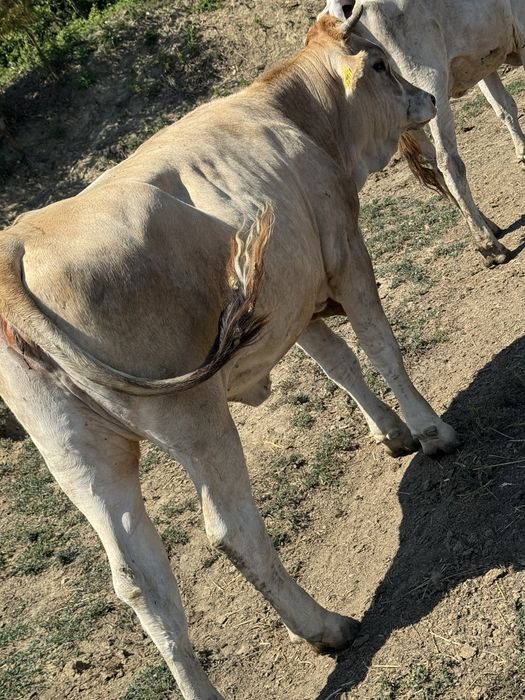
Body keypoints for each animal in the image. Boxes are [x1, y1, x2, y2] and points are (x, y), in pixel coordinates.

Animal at [0, 16, 459, 700]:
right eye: (379, 64)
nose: (426, 97)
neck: (293, 114)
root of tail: (19, 242)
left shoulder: (288, 296)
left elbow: (338, 363)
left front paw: (392, 432)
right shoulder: (344, 253)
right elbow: (380, 347)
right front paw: (430, 430)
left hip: (82, 457)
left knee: (140, 583)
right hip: (195, 418)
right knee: (231, 530)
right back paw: (325, 625)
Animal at [320, 0, 525, 267]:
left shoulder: (485, 64)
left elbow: (505, 107)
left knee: (435, 164)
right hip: (430, 85)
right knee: (448, 162)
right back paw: (490, 246)